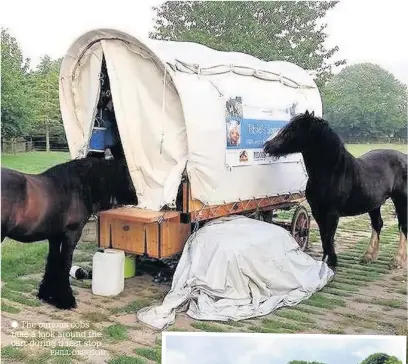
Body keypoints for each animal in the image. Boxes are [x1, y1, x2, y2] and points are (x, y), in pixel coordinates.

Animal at [0, 157, 139, 310]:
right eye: (126, 171)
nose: (136, 199)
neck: (76, 188)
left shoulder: (54, 236)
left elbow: (53, 261)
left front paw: (48, 296)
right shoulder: (72, 234)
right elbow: (65, 263)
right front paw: (66, 300)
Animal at [262, 111, 406, 270]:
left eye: (293, 129)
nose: (267, 146)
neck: (332, 173)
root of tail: (404, 157)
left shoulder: (332, 213)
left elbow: (329, 235)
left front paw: (330, 262)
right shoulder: (317, 212)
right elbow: (324, 236)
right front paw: (328, 261)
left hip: (401, 200)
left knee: (403, 226)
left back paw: (397, 260)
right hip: (374, 204)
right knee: (377, 224)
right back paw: (368, 256)